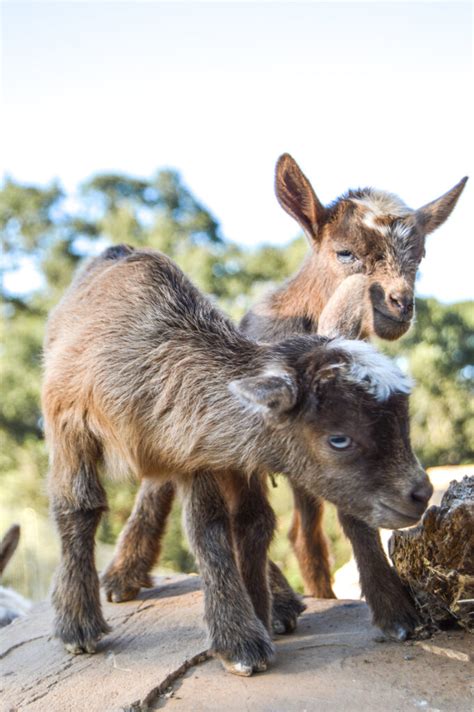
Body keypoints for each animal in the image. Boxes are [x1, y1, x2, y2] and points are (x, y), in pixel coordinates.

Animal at [45, 248, 434, 676]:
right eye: (339, 439)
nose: (421, 493)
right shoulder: (69, 418)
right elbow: (80, 508)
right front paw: (77, 625)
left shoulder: (199, 447)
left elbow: (228, 524)